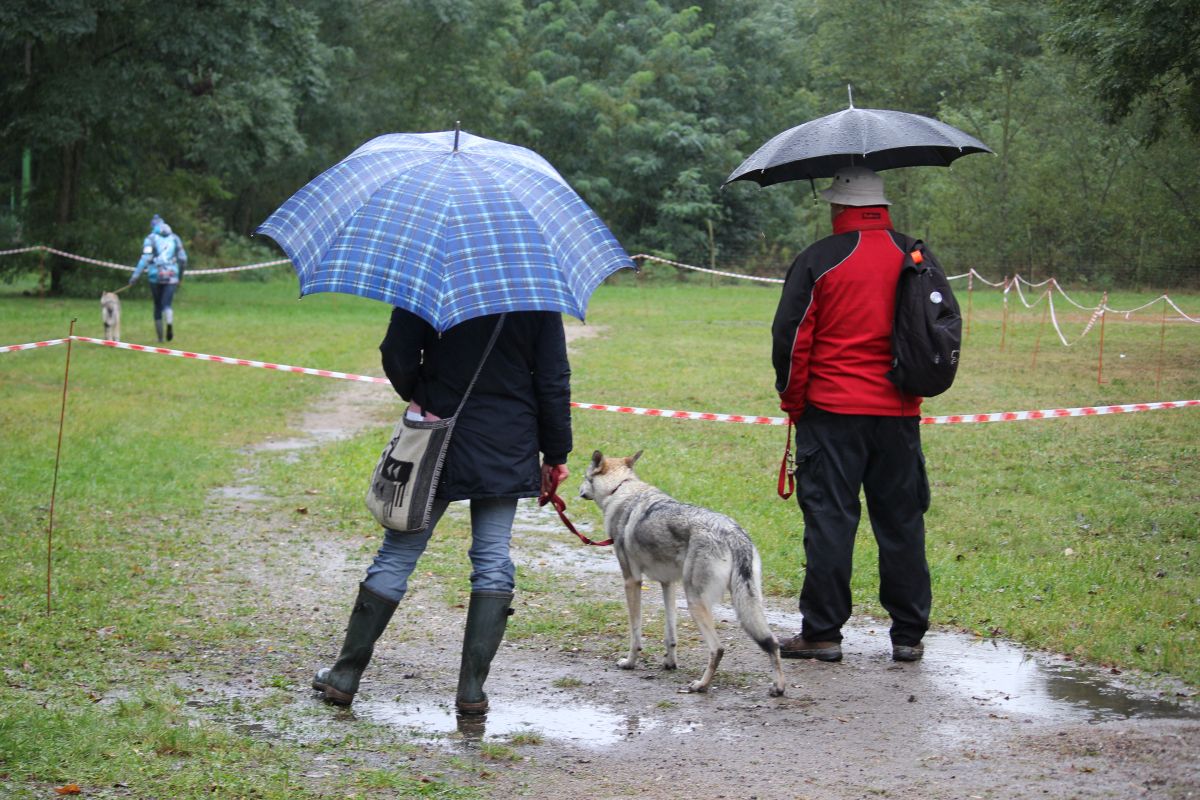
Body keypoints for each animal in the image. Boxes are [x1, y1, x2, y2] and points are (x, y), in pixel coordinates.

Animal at [580, 448, 787, 695]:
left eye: (584, 477)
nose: (578, 491)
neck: (621, 488)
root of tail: (732, 533)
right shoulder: (667, 583)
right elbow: (670, 634)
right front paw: (670, 663)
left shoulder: (632, 581)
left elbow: (635, 632)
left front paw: (630, 662)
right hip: (745, 602)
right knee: (773, 643)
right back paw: (778, 687)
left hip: (695, 602)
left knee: (718, 648)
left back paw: (701, 685)